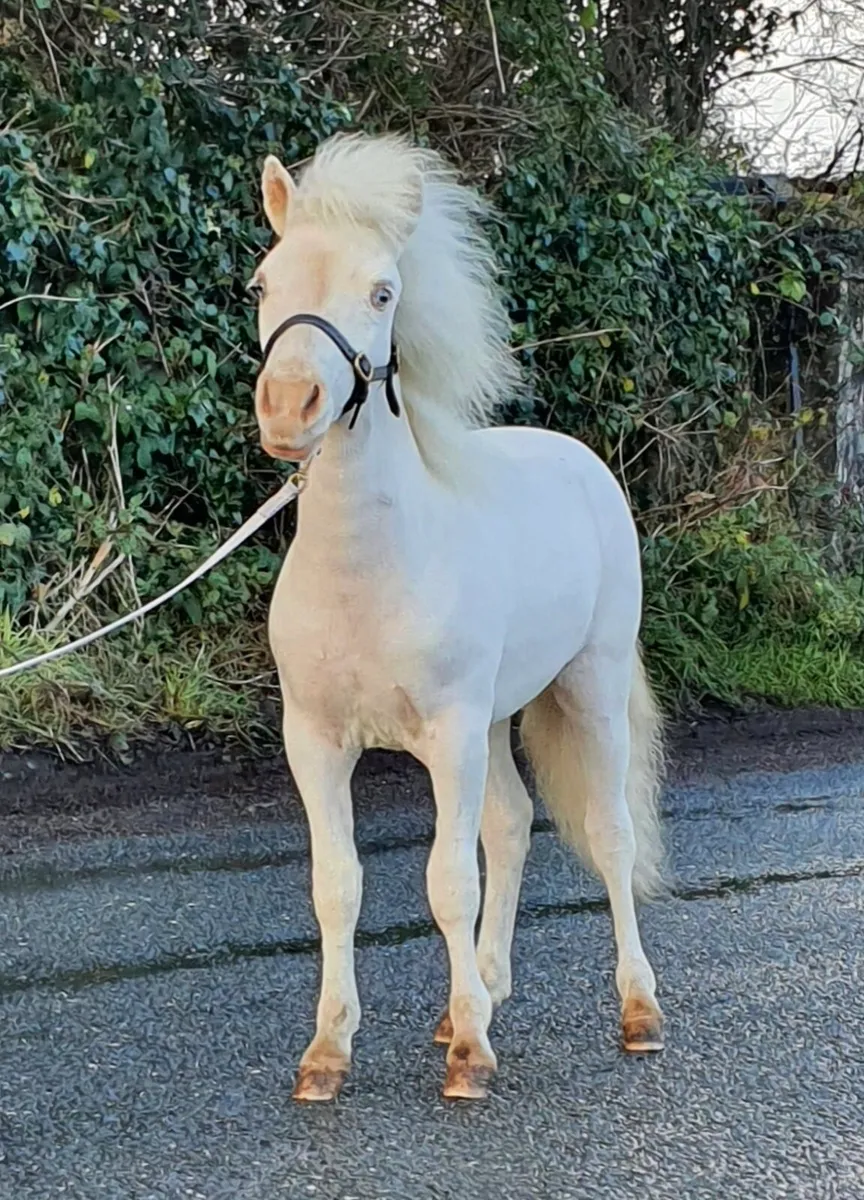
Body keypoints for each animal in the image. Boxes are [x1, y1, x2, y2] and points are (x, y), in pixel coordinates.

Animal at [249, 132, 665, 1103]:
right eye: (261, 284)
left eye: (382, 292)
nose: (288, 408)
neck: (370, 574)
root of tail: (581, 461)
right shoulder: (315, 743)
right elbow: (338, 885)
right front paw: (328, 1053)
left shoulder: (450, 736)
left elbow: (447, 881)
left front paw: (471, 1059)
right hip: (501, 720)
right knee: (510, 826)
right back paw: (480, 993)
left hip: (586, 690)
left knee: (610, 835)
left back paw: (636, 1012)